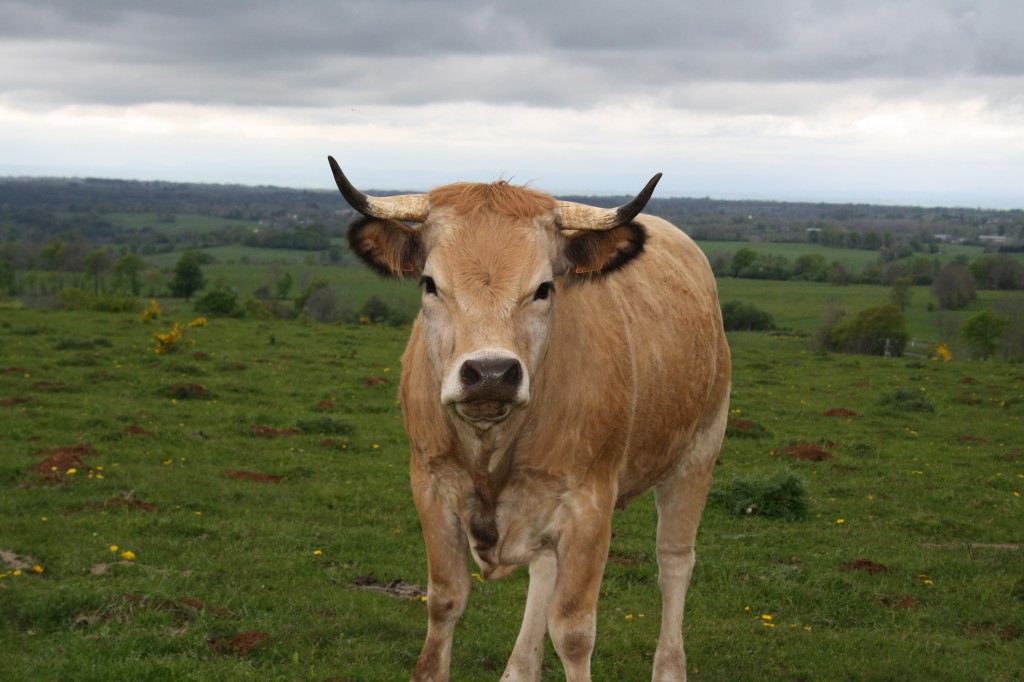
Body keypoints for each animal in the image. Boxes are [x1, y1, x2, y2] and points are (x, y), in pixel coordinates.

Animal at [327, 155, 729, 679]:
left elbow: (574, 632)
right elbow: (445, 603)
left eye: (543, 288)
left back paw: (669, 667)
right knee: (544, 571)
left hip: (698, 451)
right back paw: (520, 669)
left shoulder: (590, 505)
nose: (491, 373)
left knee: (674, 563)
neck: (492, 446)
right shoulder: (430, 487)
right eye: (430, 284)